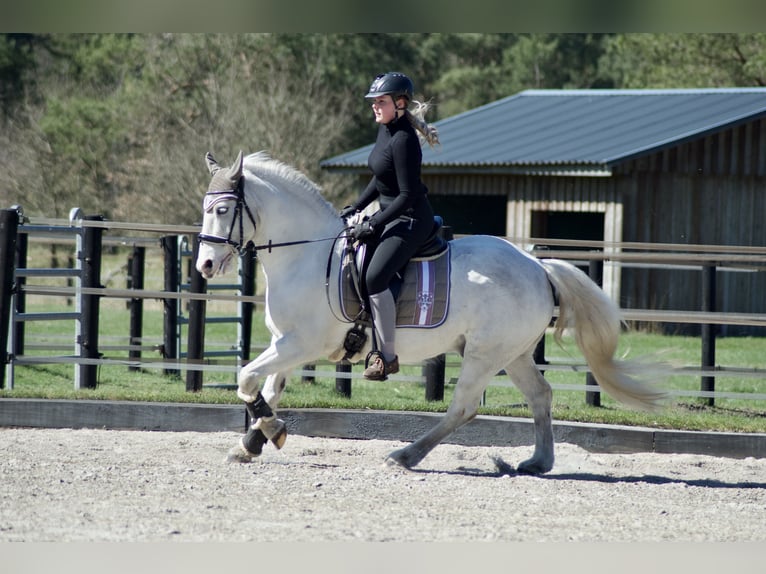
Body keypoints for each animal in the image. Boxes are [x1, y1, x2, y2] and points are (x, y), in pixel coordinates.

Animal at [196, 151, 664, 474]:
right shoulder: (286, 343)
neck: (307, 256)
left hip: (483, 355)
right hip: (512, 353)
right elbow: (266, 388)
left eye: (222, 209)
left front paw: (269, 433)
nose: (204, 265)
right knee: (540, 396)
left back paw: (405, 455)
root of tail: (536, 265)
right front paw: (252, 443)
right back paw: (537, 462)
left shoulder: (302, 343)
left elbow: (247, 378)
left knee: (463, 407)